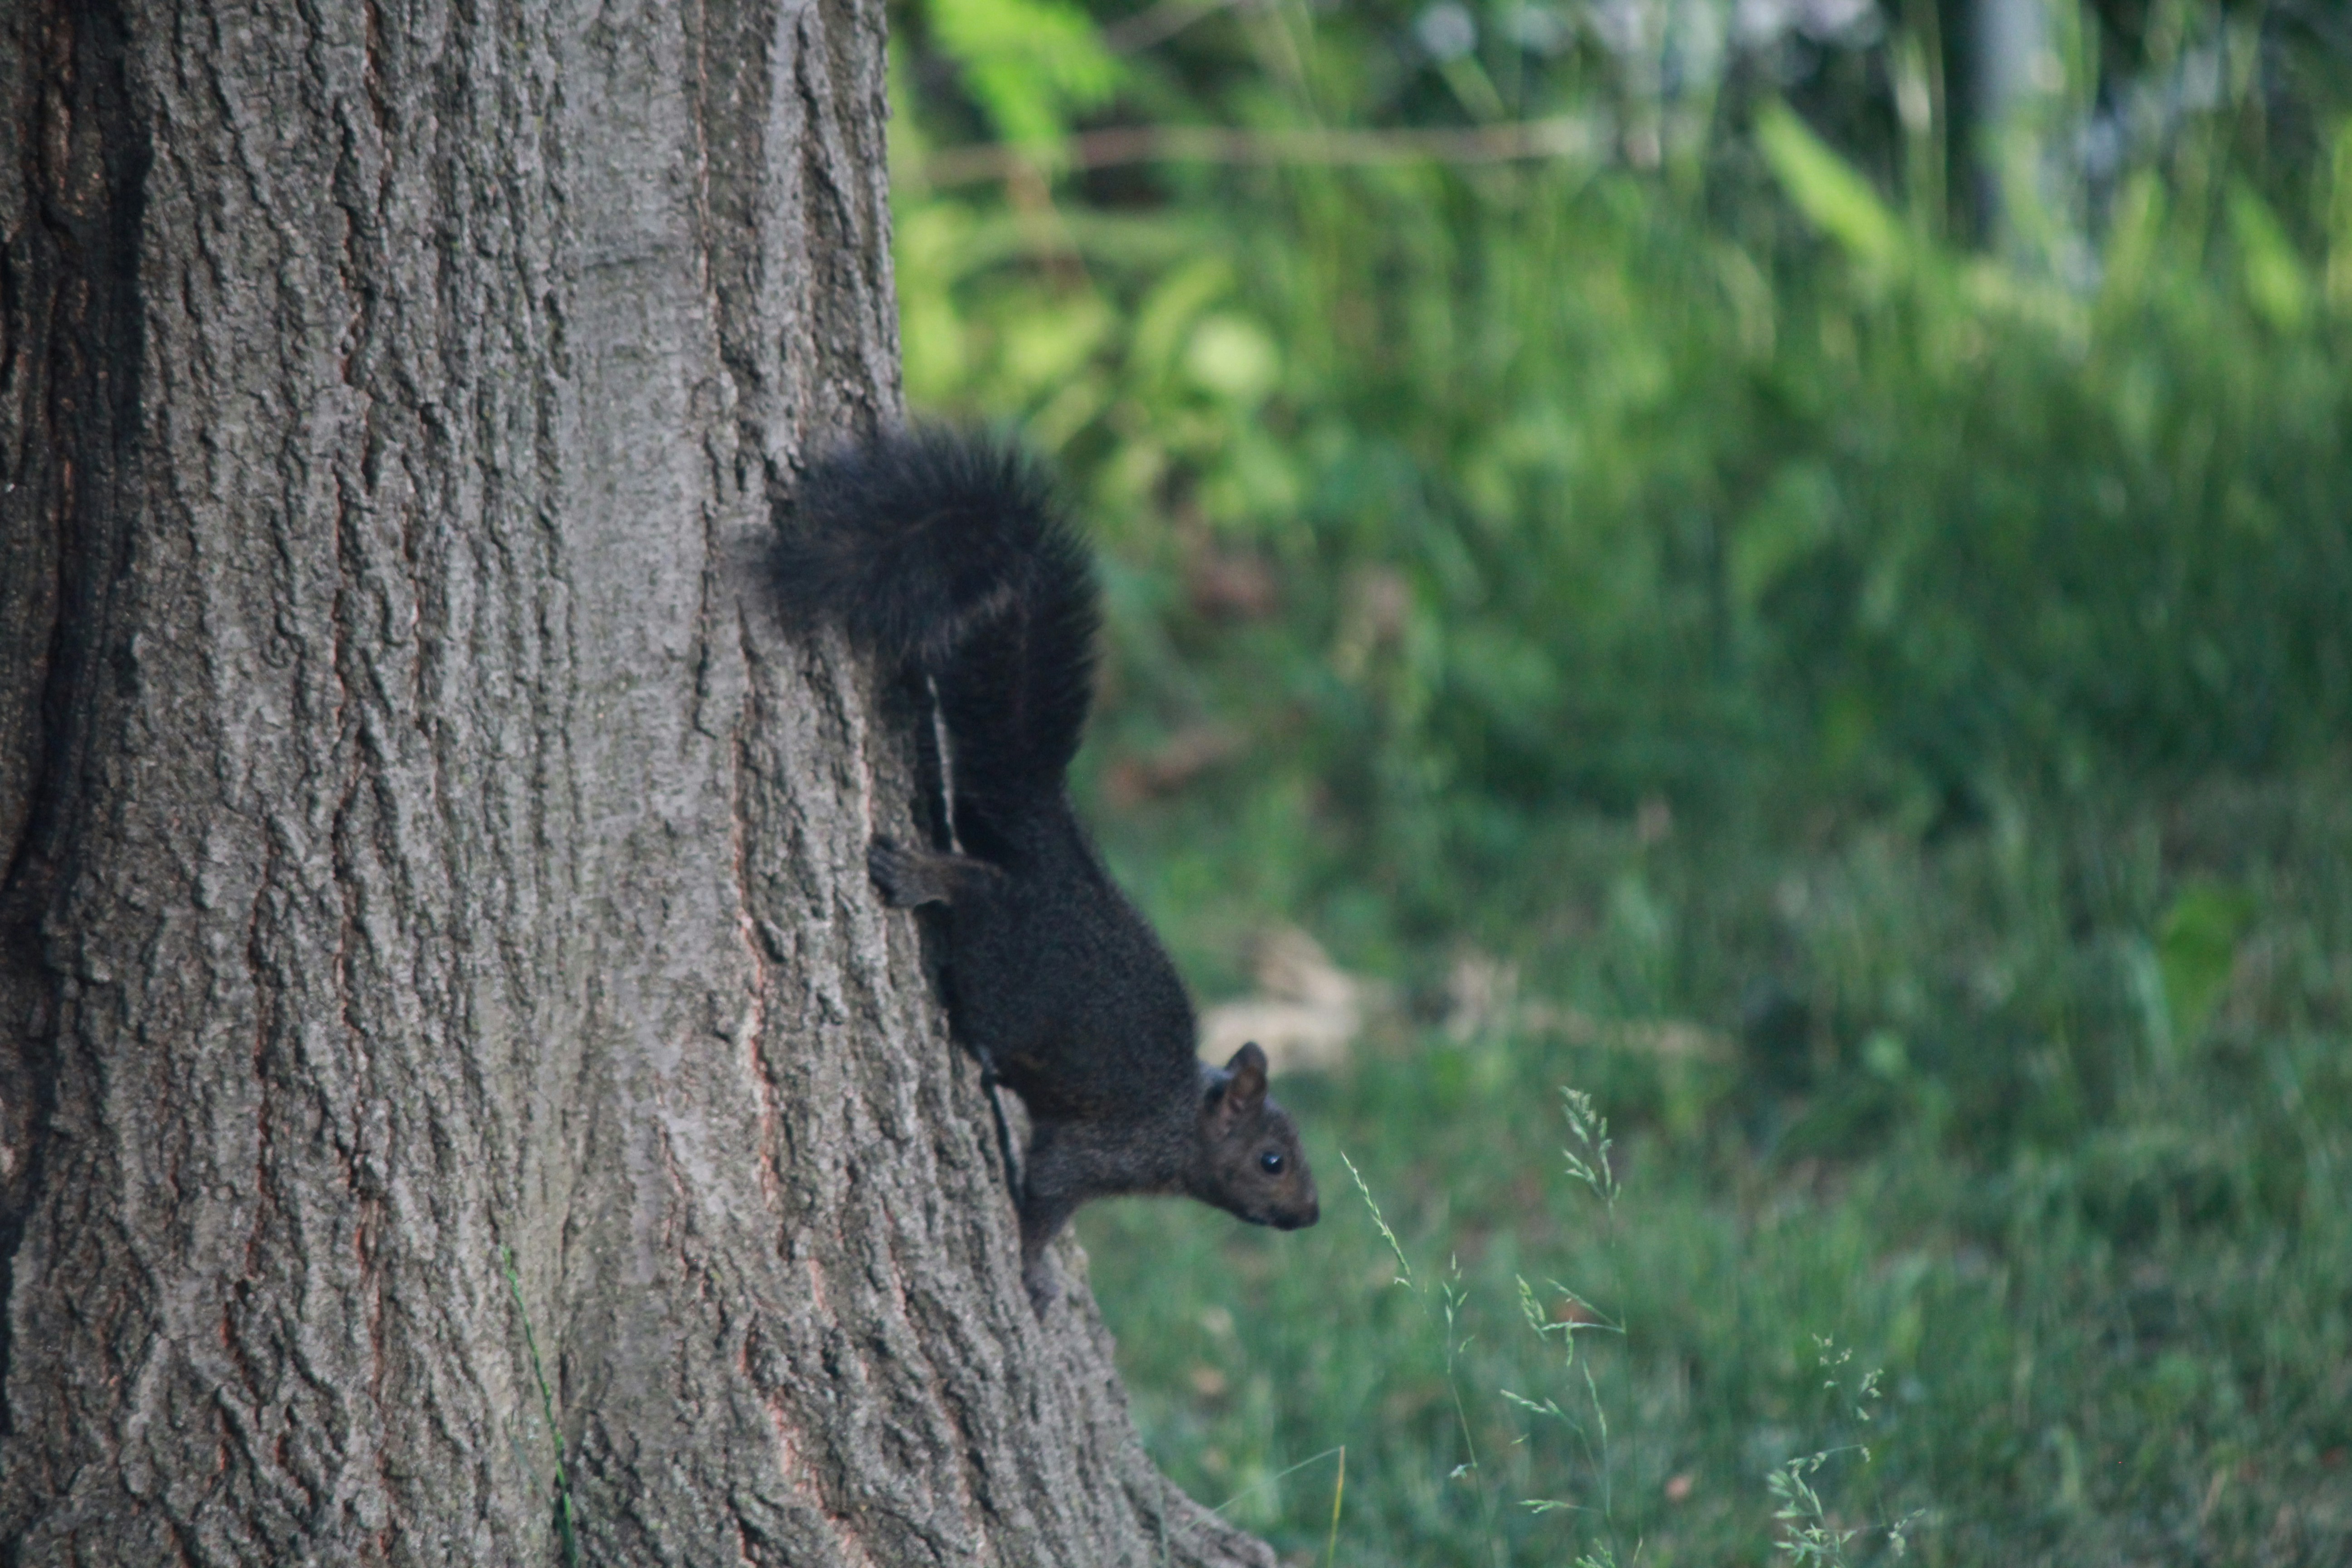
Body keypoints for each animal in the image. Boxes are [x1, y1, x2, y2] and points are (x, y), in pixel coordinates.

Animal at [773, 429, 1320, 1311]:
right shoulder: (1100, 1148)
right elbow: (1048, 1198)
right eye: (1272, 1161)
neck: (1180, 1121)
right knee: (981, 893)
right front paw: (1032, 1272)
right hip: (1011, 960)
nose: (1309, 1214)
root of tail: (1050, 840)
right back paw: (926, 879)